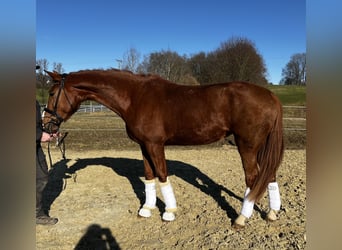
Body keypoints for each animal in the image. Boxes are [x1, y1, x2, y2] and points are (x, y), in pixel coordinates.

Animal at [42, 69, 284, 229]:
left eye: (52, 93)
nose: (46, 126)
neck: (135, 96)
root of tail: (270, 95)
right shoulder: (143, 145)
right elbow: (149, 176)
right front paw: (146, 209)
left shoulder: (155, 144)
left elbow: (161, 174)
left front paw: (169, 211)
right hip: (260, 147)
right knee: (269, 175)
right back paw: (272, 213)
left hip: (247, 145)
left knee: (253, 177)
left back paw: (242, 218)